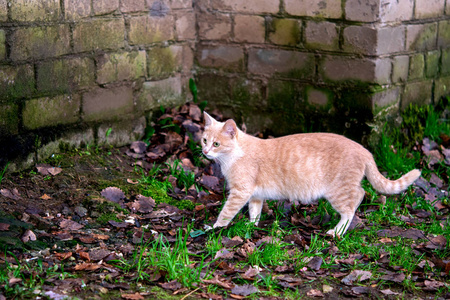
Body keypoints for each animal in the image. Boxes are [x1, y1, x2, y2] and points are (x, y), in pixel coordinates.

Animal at [201, 111, 422, 238]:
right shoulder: (254, 195)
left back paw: (337, 231)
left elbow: (226, 213)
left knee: (351, 206)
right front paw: (250, 225)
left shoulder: (240, 192)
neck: (233, 156)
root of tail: (365, 150)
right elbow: (254, 211)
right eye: (204, 140)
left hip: (337, 191)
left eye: (216, 144)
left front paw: (215, 227)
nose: (204, 151)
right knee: (359, 195)